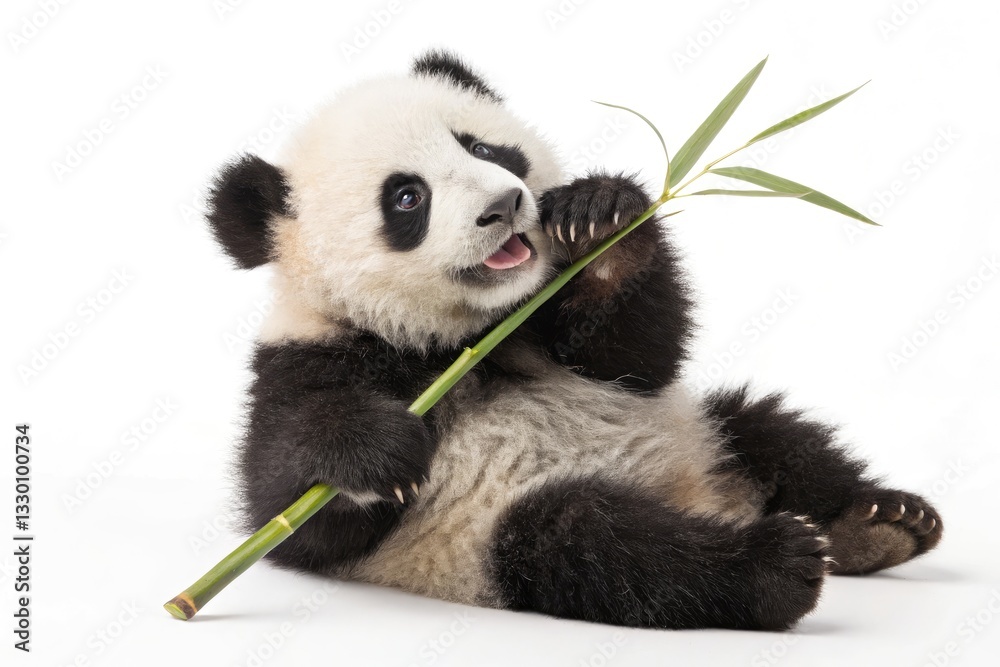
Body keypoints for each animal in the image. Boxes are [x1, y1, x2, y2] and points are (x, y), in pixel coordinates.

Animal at [206, 51, 943, 630]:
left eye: (480, 147)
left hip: (703, 429)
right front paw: (379, 451)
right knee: (603, 546)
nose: (503, 205)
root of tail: (706, 500)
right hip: (488, 539)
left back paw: (880, 523)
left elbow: (637, 357)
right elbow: (292, 509)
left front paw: (600, 219)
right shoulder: (313, 354)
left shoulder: (544, 317)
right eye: (407, 198)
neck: (465, 338)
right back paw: (776, 563)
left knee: (768, 430)